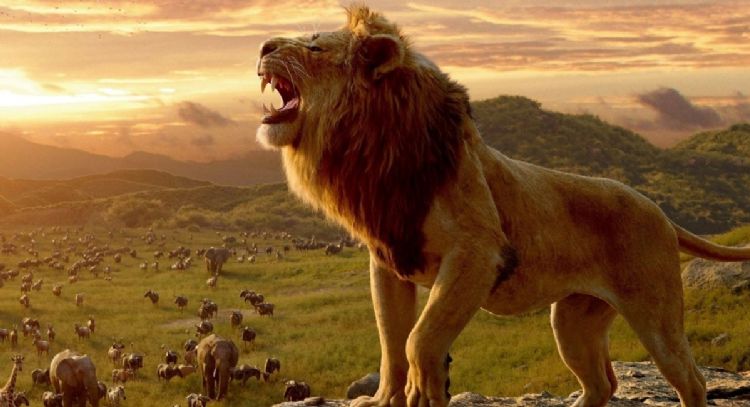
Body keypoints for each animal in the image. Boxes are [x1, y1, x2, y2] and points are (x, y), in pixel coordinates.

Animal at [255, 5, 750, 407]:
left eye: (314, 46)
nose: (262, 45)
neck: (373, 153)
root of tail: (661, 212)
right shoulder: (389, 261)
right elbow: (391, 343)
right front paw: (385, 398)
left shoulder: (478, 253)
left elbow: (420, 338)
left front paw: (424, 390)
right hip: (572, 321)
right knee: (601, 383)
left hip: (655, 314)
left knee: (691, 379)